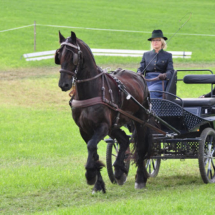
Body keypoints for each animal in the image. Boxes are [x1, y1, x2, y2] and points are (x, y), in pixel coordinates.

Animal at [55, 30, 151, 193]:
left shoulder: (102, 126)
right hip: (115, 124)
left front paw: (89, 174)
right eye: (59, 55)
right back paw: (119, 170)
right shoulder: (84, 129)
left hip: (140, 120)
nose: (64, 84)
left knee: (141, 147)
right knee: (124, 139)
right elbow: (93, 151)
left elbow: (91, 146)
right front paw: (98, 183)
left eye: (72, 56)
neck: (90, 91)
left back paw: (140, 178)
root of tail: (140, 76)